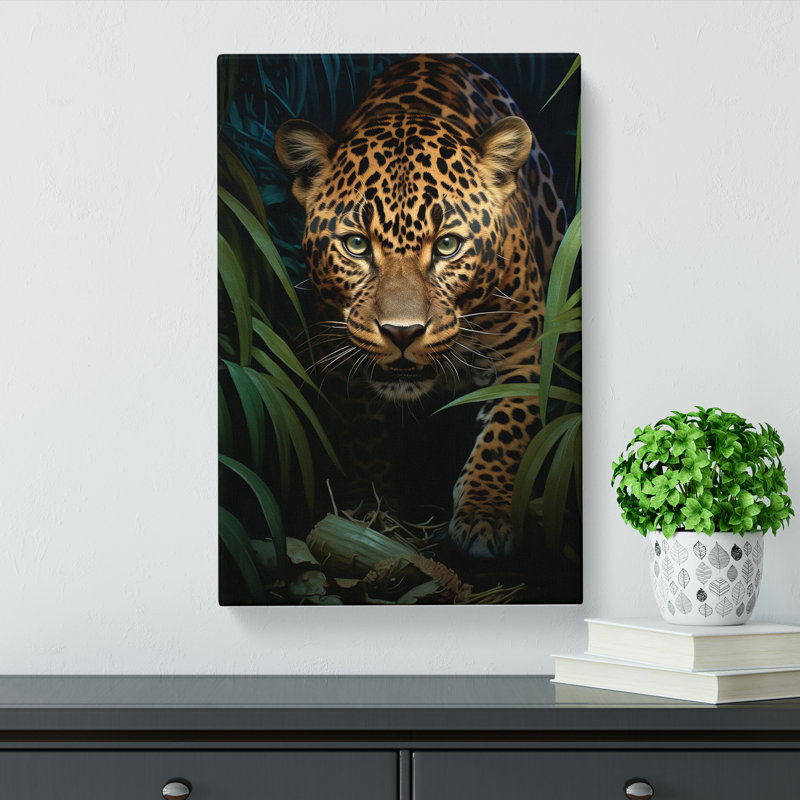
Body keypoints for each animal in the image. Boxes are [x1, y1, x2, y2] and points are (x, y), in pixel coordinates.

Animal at [275, 54, 568, 558]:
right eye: (356, 245)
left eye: (448, 245)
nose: (402, 332)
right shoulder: (341, 364)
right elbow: (363, 440)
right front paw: (369, 511)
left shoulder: (524, 353)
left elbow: (505, 435)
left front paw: (484, 513)